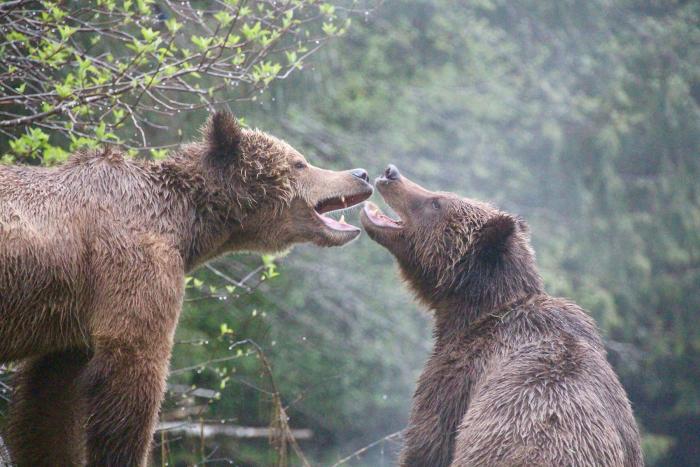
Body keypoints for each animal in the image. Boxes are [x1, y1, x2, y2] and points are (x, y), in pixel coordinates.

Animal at [0, 111, 373, 466]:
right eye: (300, 163)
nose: (362, 173)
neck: (185, 224)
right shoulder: (131, 268)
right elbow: (130, 379)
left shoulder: (75, 315)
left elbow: (47, 407)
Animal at [360, 165, 643, 467]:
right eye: (441, 195)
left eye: (437, 202)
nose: (391, 173)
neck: (469, 312)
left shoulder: (455, 381)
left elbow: (427, 444)